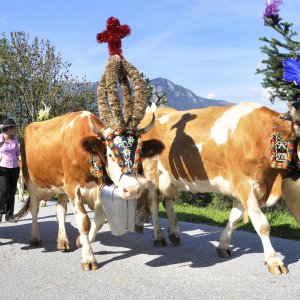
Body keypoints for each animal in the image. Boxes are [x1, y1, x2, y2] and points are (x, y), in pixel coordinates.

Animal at [17, 110, 159, 272]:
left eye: (139, 154)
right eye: (110, 154)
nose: (133, 189)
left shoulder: (96, 188)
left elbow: (99, 221)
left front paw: (81, 241)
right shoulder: (73, 187)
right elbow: (84, 221)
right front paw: (88, 258)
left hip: (62, 188)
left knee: (60, 211)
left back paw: (62, 241)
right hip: (31, 182)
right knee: (34, 210)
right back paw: (35, 238)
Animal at [138, 102, 300, 274]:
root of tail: (155, 110)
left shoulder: (240, 186)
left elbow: (234, 217)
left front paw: (223, 245)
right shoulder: (244, 185)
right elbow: (262, 224)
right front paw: (274, 261)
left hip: (169, 176)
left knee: (167, 200)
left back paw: (174, 234)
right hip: (151, 171)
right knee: (153, 203)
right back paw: (159, 236)